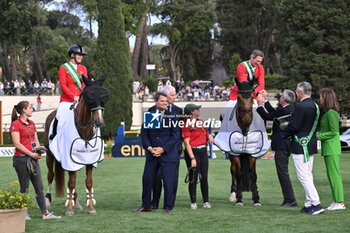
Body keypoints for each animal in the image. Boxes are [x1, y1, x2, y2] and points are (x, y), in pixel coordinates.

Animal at [44, 75, 109, 216]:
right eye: (90, 96)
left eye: (104, 96)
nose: (99, 121)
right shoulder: (68, 159)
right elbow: (71, 183)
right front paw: (69, 210)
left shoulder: (89, 160)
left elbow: (88, 183)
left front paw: (91, 208)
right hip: (49, 155)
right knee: (51, 176)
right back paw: (47, 203)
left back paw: (76, 202)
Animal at [228, 78, 262, 206]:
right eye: (238, 98)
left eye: (252, 96)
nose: (247, 120)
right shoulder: (234, 153)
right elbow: (238, 173)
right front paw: (239, 199)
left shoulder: (253, 152)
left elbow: (253, 174)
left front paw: (256, 198)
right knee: (233, 170)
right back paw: (233, 194)